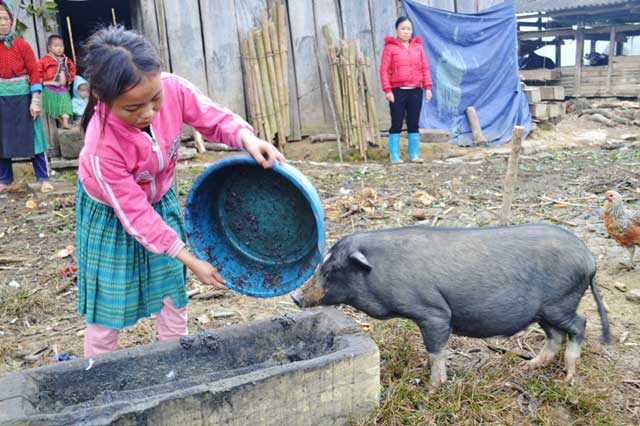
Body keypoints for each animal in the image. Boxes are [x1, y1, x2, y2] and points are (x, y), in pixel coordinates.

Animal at [292, 225, 608, 388]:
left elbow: (436, 350)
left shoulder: (434, 313)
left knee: (580, 325)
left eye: (331, 269)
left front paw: (432, 388)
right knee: (555, 335)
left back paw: (569, 377)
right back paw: (527, 367)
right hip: (544, 311)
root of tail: (590, 259)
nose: (296, 297)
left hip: (560, 303)